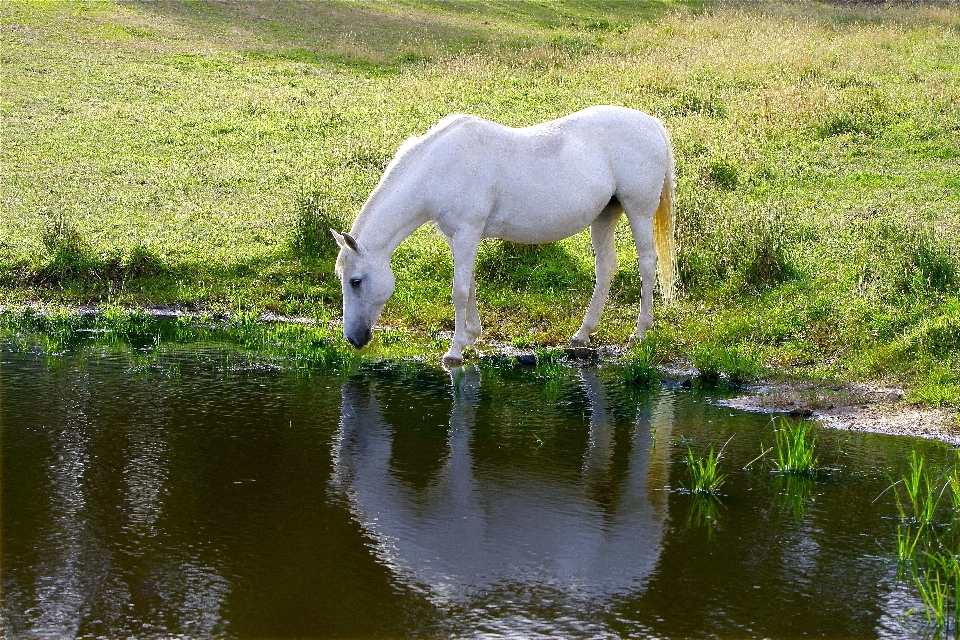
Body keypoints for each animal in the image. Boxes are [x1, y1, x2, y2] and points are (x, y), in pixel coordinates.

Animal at [334, 105, 680, 364]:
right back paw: (582, 334)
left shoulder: (467, 232)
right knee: (606, 267)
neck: (441, 166)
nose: (353, 338)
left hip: (638, 211)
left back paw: (639, 333)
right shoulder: (459, 237)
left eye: (355, 281)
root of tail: (652, 124)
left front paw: (455, 350)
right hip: (605, 216)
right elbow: (469, 286)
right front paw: (472, 338)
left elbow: (459, 290)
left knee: (647, 265)